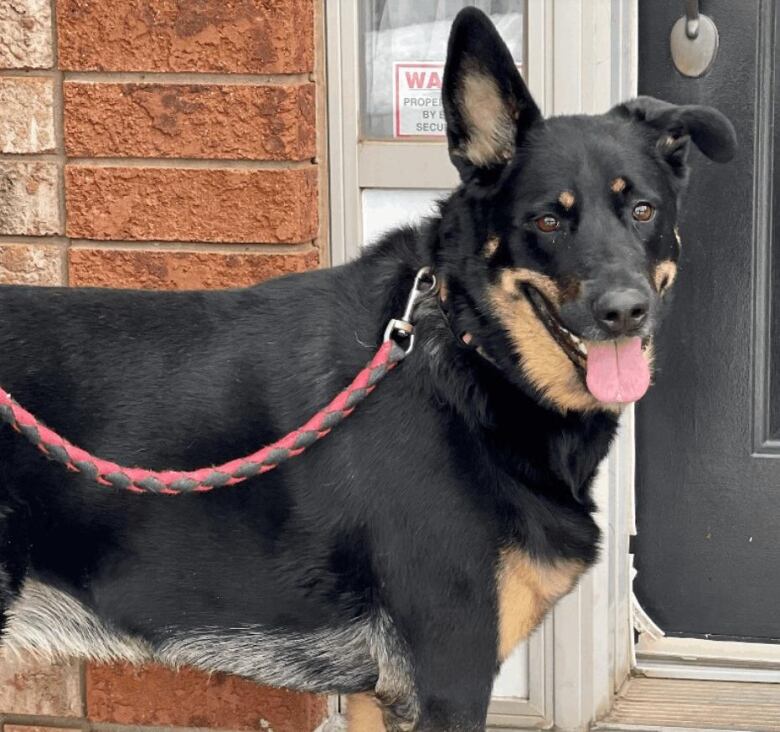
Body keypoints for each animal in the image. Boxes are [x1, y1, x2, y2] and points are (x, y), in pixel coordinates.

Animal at [0, 7, 736, 732]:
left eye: (642, 209)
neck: (469, 351)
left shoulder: (378, 694)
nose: (625, 312)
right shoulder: (448, 680)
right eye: (548, 221)